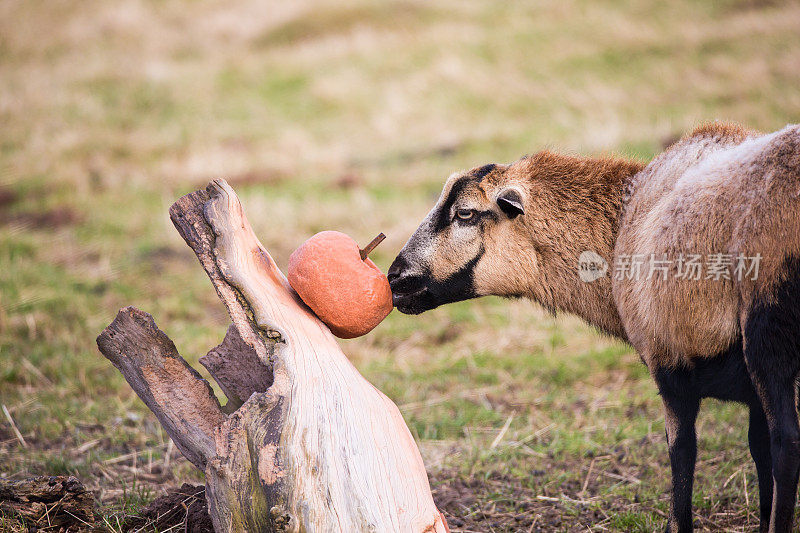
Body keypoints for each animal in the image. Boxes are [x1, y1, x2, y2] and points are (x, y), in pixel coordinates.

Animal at [388, 123, 800, 532]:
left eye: (465, 213)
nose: (395, 278)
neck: (620, 226)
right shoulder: (742, 390)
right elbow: (756, 451)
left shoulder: (669, 366)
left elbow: (683, 453)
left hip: (766, 334)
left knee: (787, 445)